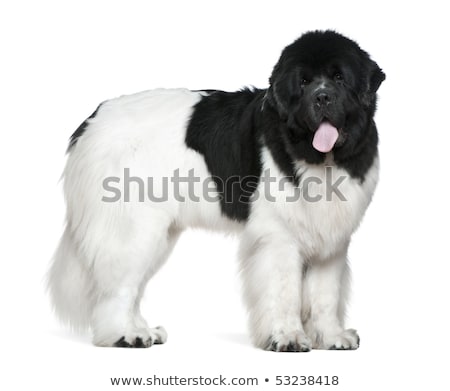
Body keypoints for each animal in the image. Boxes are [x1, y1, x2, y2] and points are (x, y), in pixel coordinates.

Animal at [48, 29, 384, 350]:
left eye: (339, 77)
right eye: (303, 82)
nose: (322, 97)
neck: (320, 159)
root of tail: (92, 120)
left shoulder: (331, 242)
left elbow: (326, 294)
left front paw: (331, 337)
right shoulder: (279, 238)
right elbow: (284, 290)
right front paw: (287, 337)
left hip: (157, 233)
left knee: (131, 286)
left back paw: (143, 330)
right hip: (132, 227)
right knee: (118, 288)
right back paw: (125, 335)